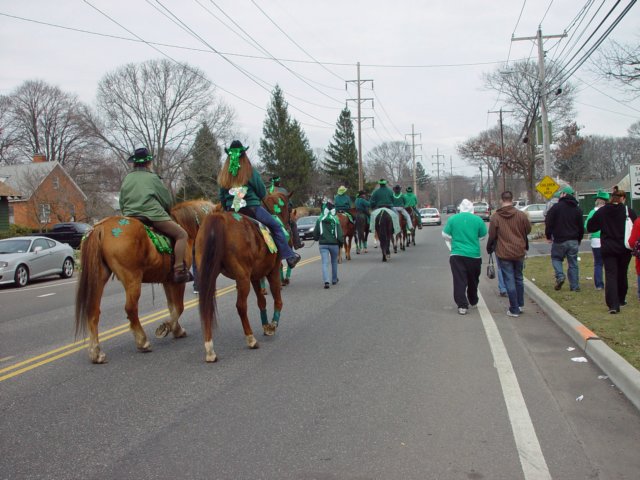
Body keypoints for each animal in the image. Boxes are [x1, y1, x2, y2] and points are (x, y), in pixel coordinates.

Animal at [74, 200, 216, 364]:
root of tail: (100, 227)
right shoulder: (177, 281)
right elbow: (179, 307)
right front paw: (165, 327)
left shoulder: (167, 281)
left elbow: (172, 307)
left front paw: (176, 330)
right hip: (132, 278)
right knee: (130, 309)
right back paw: (142, 342)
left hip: (99, 277)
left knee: (93, 312)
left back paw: (96, 353)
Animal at [195, 191, 290, 364]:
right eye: (289, 206)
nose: (288, 224)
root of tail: (218, 218)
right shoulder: (272, 271)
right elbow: (277, 299)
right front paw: (273, 325)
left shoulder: (255, 276)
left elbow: (261, 301)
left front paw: (266, 326)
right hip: (242, 278)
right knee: (241, 306)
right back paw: (251, 339)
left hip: (208, 276)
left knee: (206, 306)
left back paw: (210, 350)